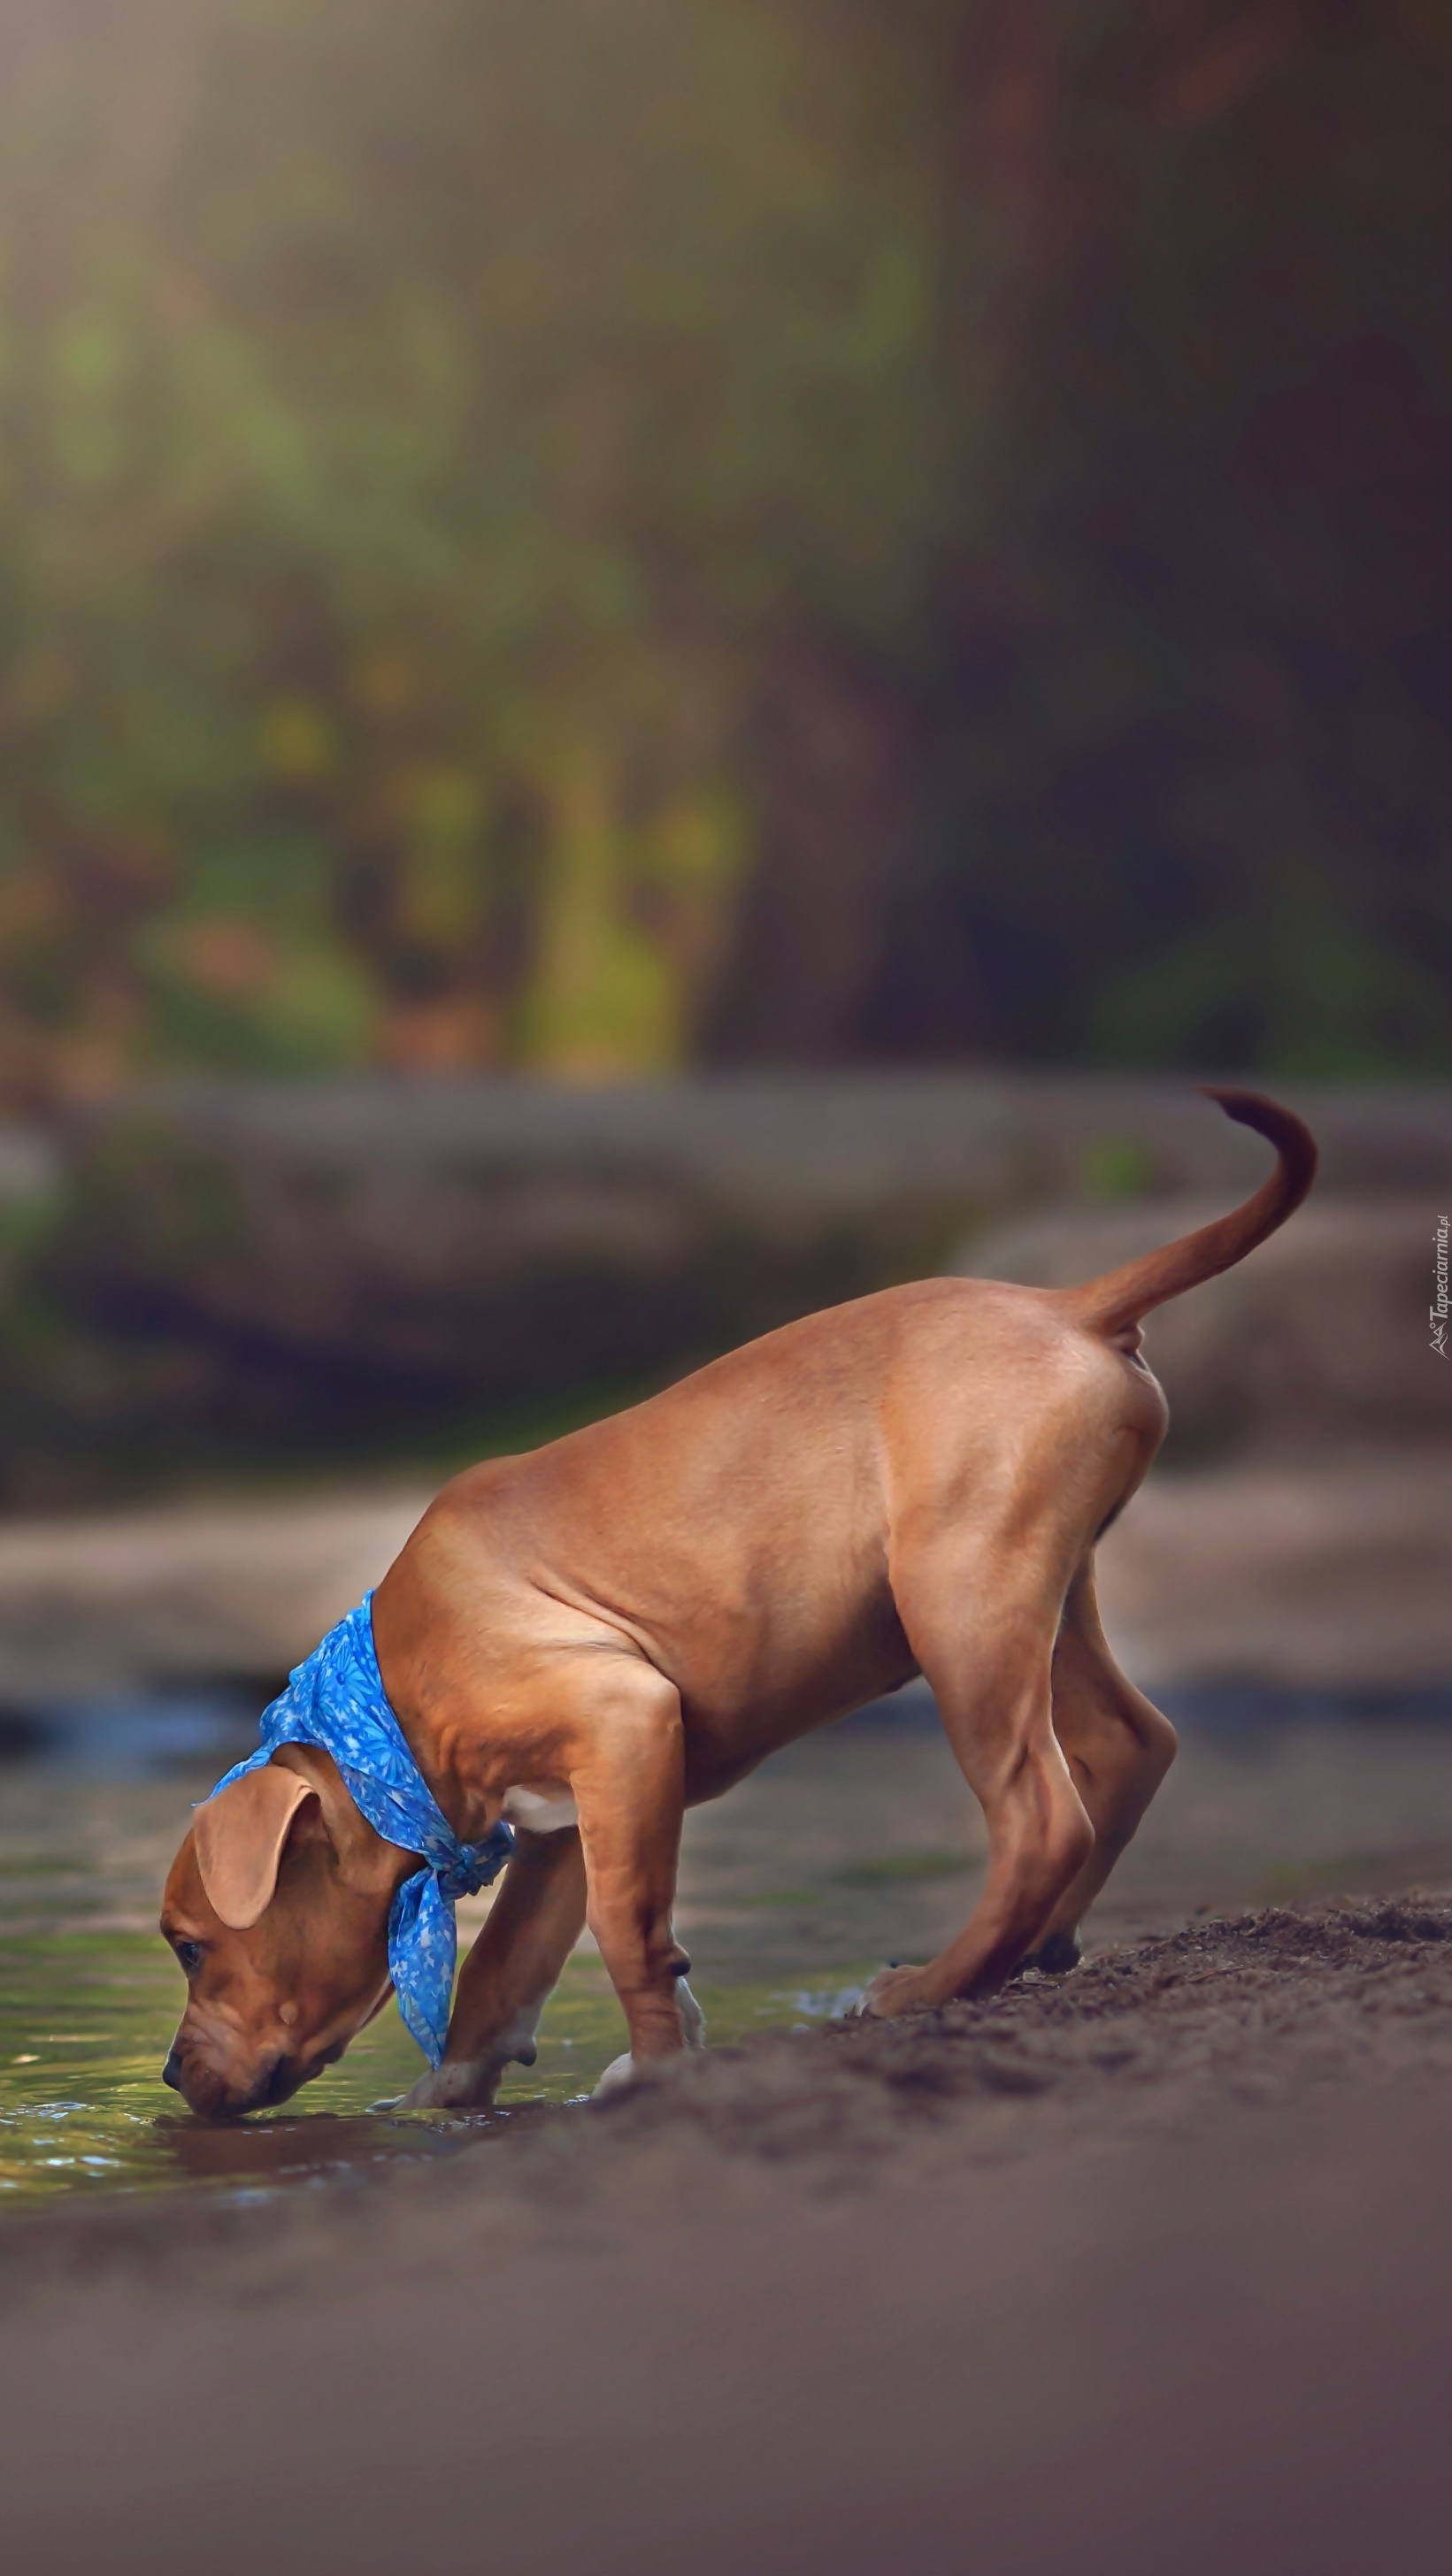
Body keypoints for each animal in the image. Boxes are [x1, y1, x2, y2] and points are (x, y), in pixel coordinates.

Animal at [158, 1086, 1318, 2112]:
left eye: (188, 1944)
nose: (167, 2074)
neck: (391, 1711)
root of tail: (1065, 1306)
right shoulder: (578, 1810)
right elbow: (505, 1966)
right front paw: (446, 2091)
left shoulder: (622, 1723)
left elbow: (628, 1932)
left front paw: (656, 2067)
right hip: (1052, 1589)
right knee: (1131, 1742)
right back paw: (1039, 1948)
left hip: (962, 1608)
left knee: (1040, 1817)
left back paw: (931, 1986)